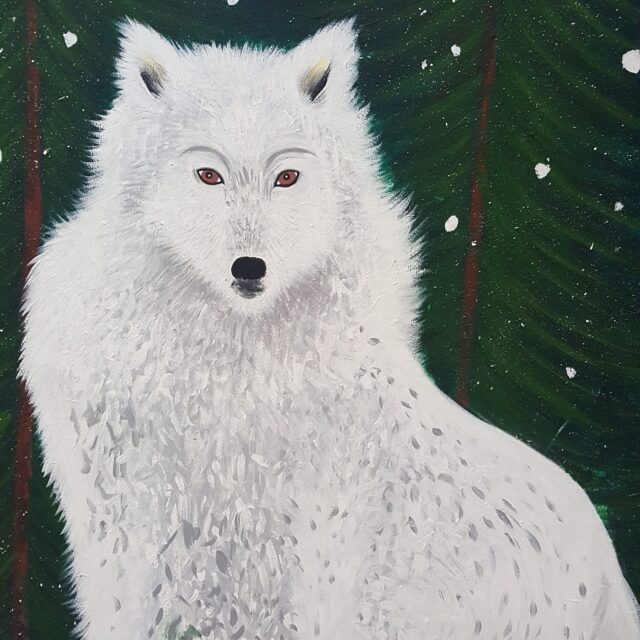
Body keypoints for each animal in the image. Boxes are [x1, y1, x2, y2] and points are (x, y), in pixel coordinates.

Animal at [20, 19, 640, 640]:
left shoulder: (301, 555)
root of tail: (611, 581)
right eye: (208, 175)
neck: (229, 373)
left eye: (287, 177)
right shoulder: (131, 542)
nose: (250, 268)